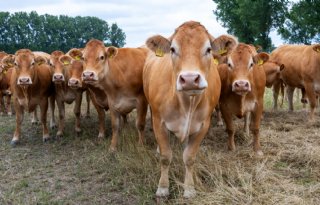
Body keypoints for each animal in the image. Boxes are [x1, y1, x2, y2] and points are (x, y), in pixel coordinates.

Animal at [142, 20, 230, 197]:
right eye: (172, 49)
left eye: (208, 49)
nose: (189, 79)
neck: (186, 103)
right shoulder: (159, 122)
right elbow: (165, 156)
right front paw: (163, 187)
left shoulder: (203, 125)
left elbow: (189, 157)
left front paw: (189, 188)